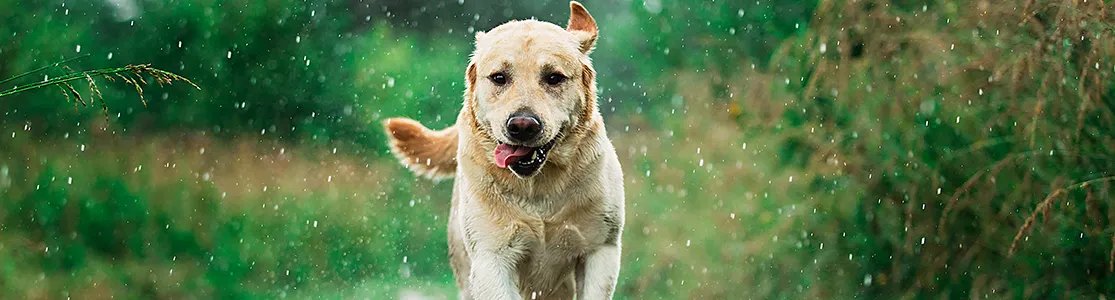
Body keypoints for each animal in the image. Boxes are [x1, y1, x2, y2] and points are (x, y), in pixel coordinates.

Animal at [383, 1, 624, 296]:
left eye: (554, 77)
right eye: (499, 77)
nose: (522, 125)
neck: (538, 189)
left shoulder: (601, 250)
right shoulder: (491, 259)